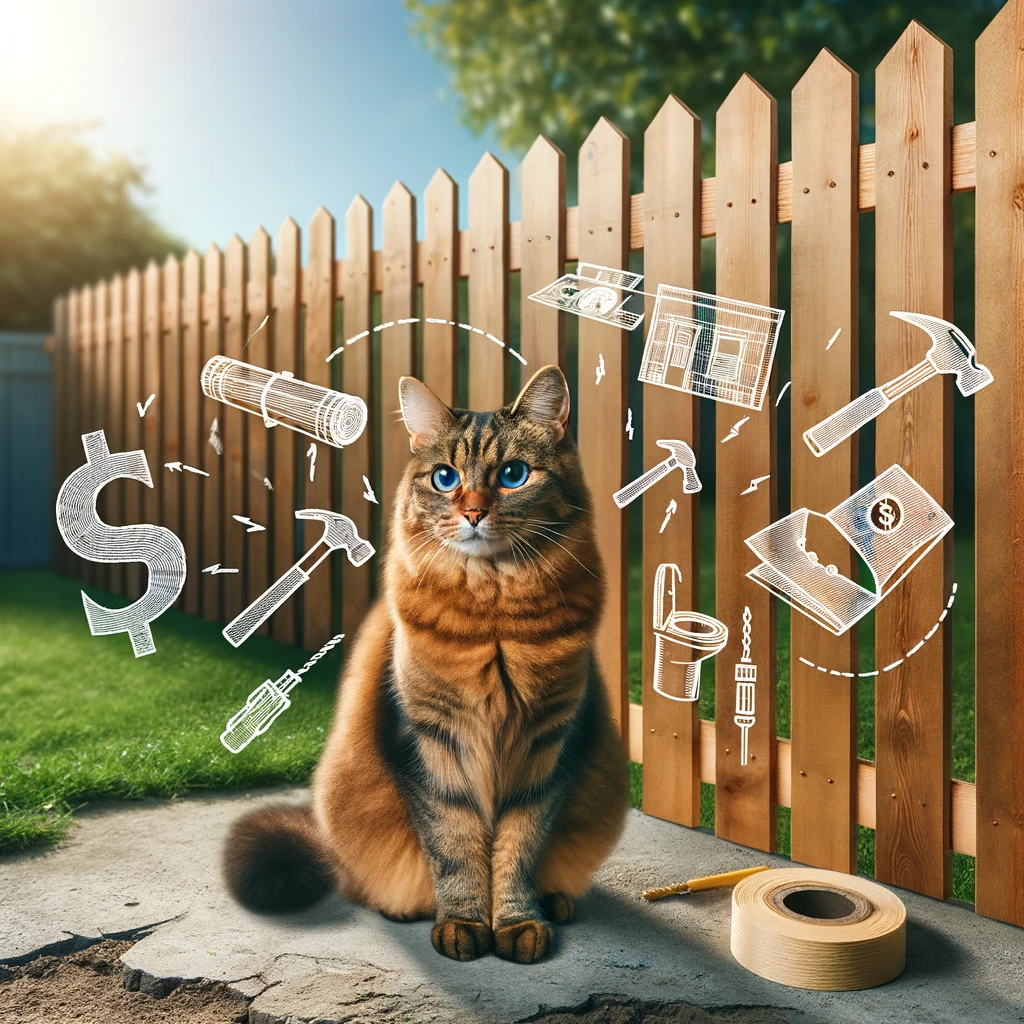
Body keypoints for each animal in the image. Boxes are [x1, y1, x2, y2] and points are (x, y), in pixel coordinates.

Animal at [220, 366, 626, 958]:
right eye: (444, 478)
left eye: (513, 475)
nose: (473, 512)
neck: (493, 617)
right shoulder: (430, 742)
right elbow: (456, 847)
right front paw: (464, 924)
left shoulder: (549, 744)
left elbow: (518, 848)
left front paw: (518, 923)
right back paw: (405, 907)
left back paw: (556, 903)